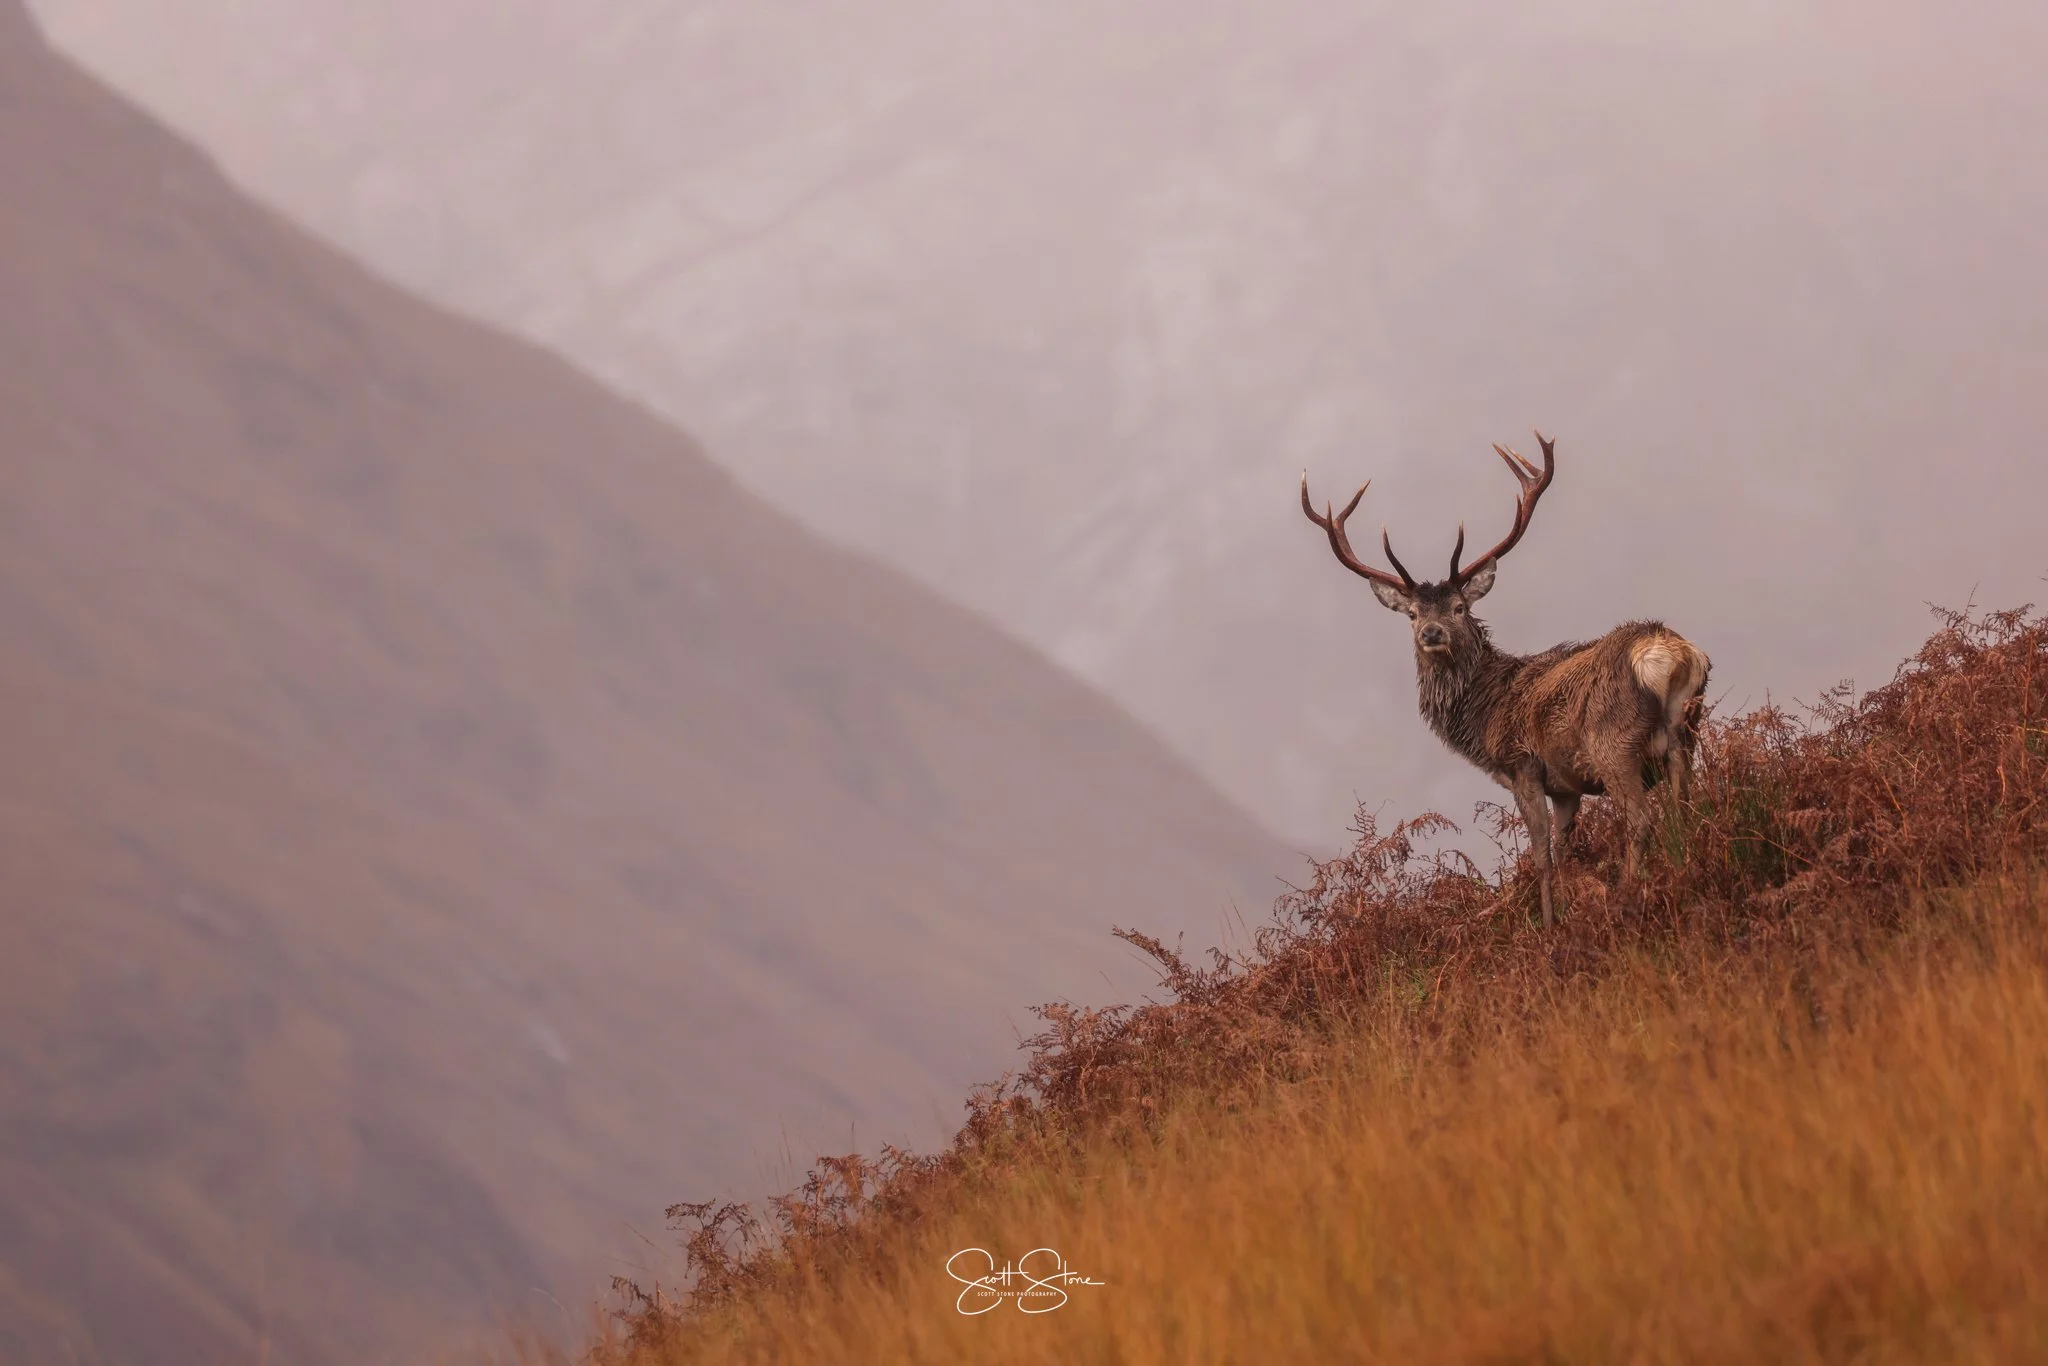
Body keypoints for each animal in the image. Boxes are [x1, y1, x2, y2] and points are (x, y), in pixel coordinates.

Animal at [1301, 432, 1710, 927]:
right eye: (1413, 613)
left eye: (1459, 607)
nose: (1431, 633)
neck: (1485, 717)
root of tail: (1668, 653)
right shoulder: (1565, 787)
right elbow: (1564, 851)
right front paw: (1566, 913)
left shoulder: (1522, 765)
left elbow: (1541, 855)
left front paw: (1550, 927)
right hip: (1686, 732)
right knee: (1684, 807)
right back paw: (1684, 872)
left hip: (1612, 743)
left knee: (1640, 820)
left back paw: (1629, 897)